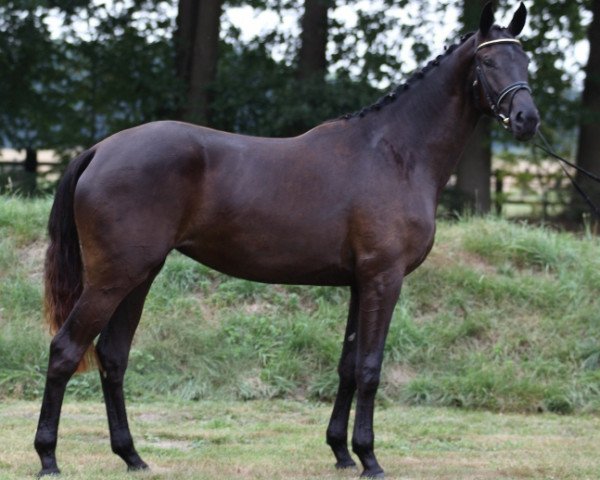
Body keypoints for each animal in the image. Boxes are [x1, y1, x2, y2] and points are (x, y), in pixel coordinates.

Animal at [32, 1, 540, 478]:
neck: (395, 154)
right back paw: (48, 457)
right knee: (66, 351)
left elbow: (348, 366)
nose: (527, 119)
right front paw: (369, 458)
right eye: (488, 61)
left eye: (526, 60)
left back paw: (132, 456)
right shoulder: (384, 278)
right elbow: (370, 368)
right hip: (112, 279)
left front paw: (341, 452)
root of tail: (101, 149)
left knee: (112, 357)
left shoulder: (359, 283)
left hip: (139, 276)